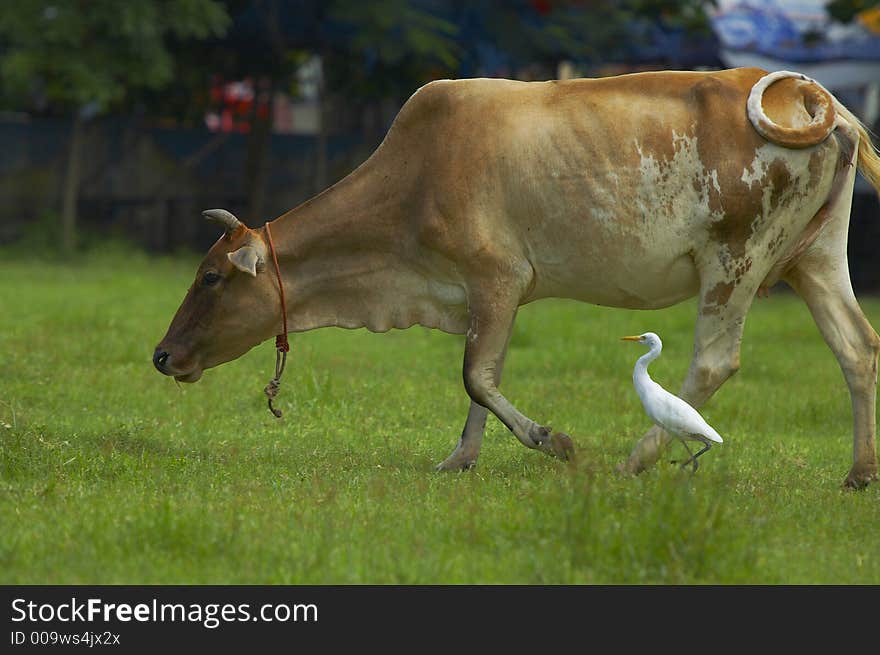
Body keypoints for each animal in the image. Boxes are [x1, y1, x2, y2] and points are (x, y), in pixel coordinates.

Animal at [155, 68, 880, 486]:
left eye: (212, 276)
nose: (162, 355)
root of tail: (812, 96)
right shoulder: (491, 296)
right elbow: (486, 376)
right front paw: (460, 459)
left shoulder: (498, 276)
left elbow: (476, 375)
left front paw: (551, 441)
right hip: (813, 259)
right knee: (857, 347)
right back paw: (858, 473)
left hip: (735, 260)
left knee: (713, 362)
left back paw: (632, 461)